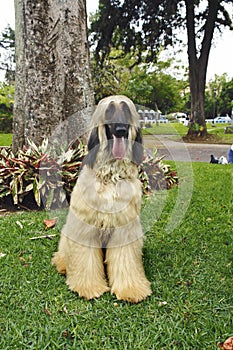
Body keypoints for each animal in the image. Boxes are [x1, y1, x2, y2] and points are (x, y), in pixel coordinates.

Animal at [52, 94, 152, 302]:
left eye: (126, 110)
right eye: (109, 110)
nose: (121, 130)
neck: (111, 176)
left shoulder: (125, 229)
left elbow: (125, 259)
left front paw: (131, 289)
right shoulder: (86, 227)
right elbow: (86, 259)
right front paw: (88, 287)